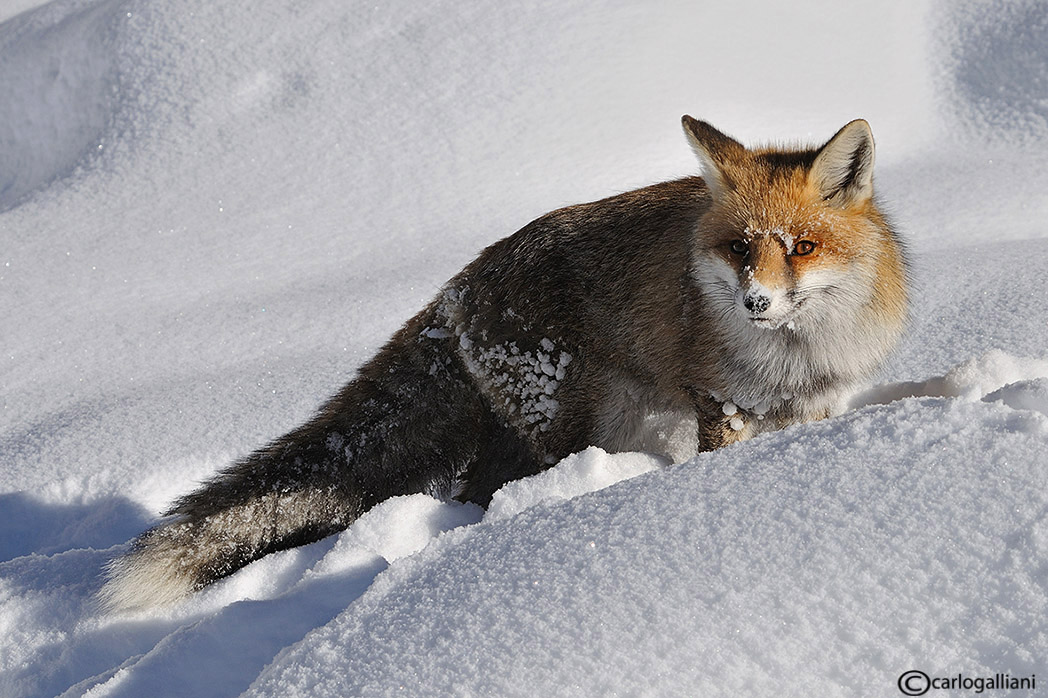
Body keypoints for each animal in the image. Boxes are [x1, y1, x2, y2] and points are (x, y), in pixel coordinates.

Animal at [100, 115, 909, 607]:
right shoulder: (719, 403)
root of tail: (456, 286)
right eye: (740, 248)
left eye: (802, 246)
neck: (795, 360)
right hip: (576, 424)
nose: (755, 304)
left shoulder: (812, 405)